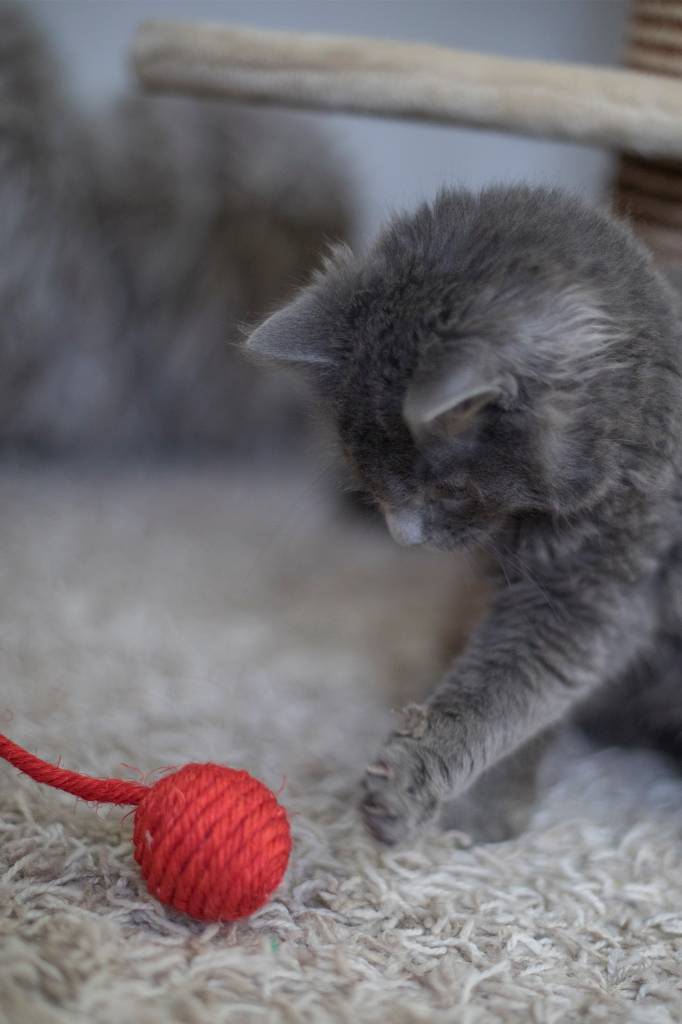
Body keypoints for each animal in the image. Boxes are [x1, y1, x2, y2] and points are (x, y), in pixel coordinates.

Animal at [246, 188, 679, 843]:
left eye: (451, 489)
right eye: (368, 478)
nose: (402, 537)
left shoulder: (594, 587)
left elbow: (508, 688)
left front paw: (408, 782)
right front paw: (478, 803)